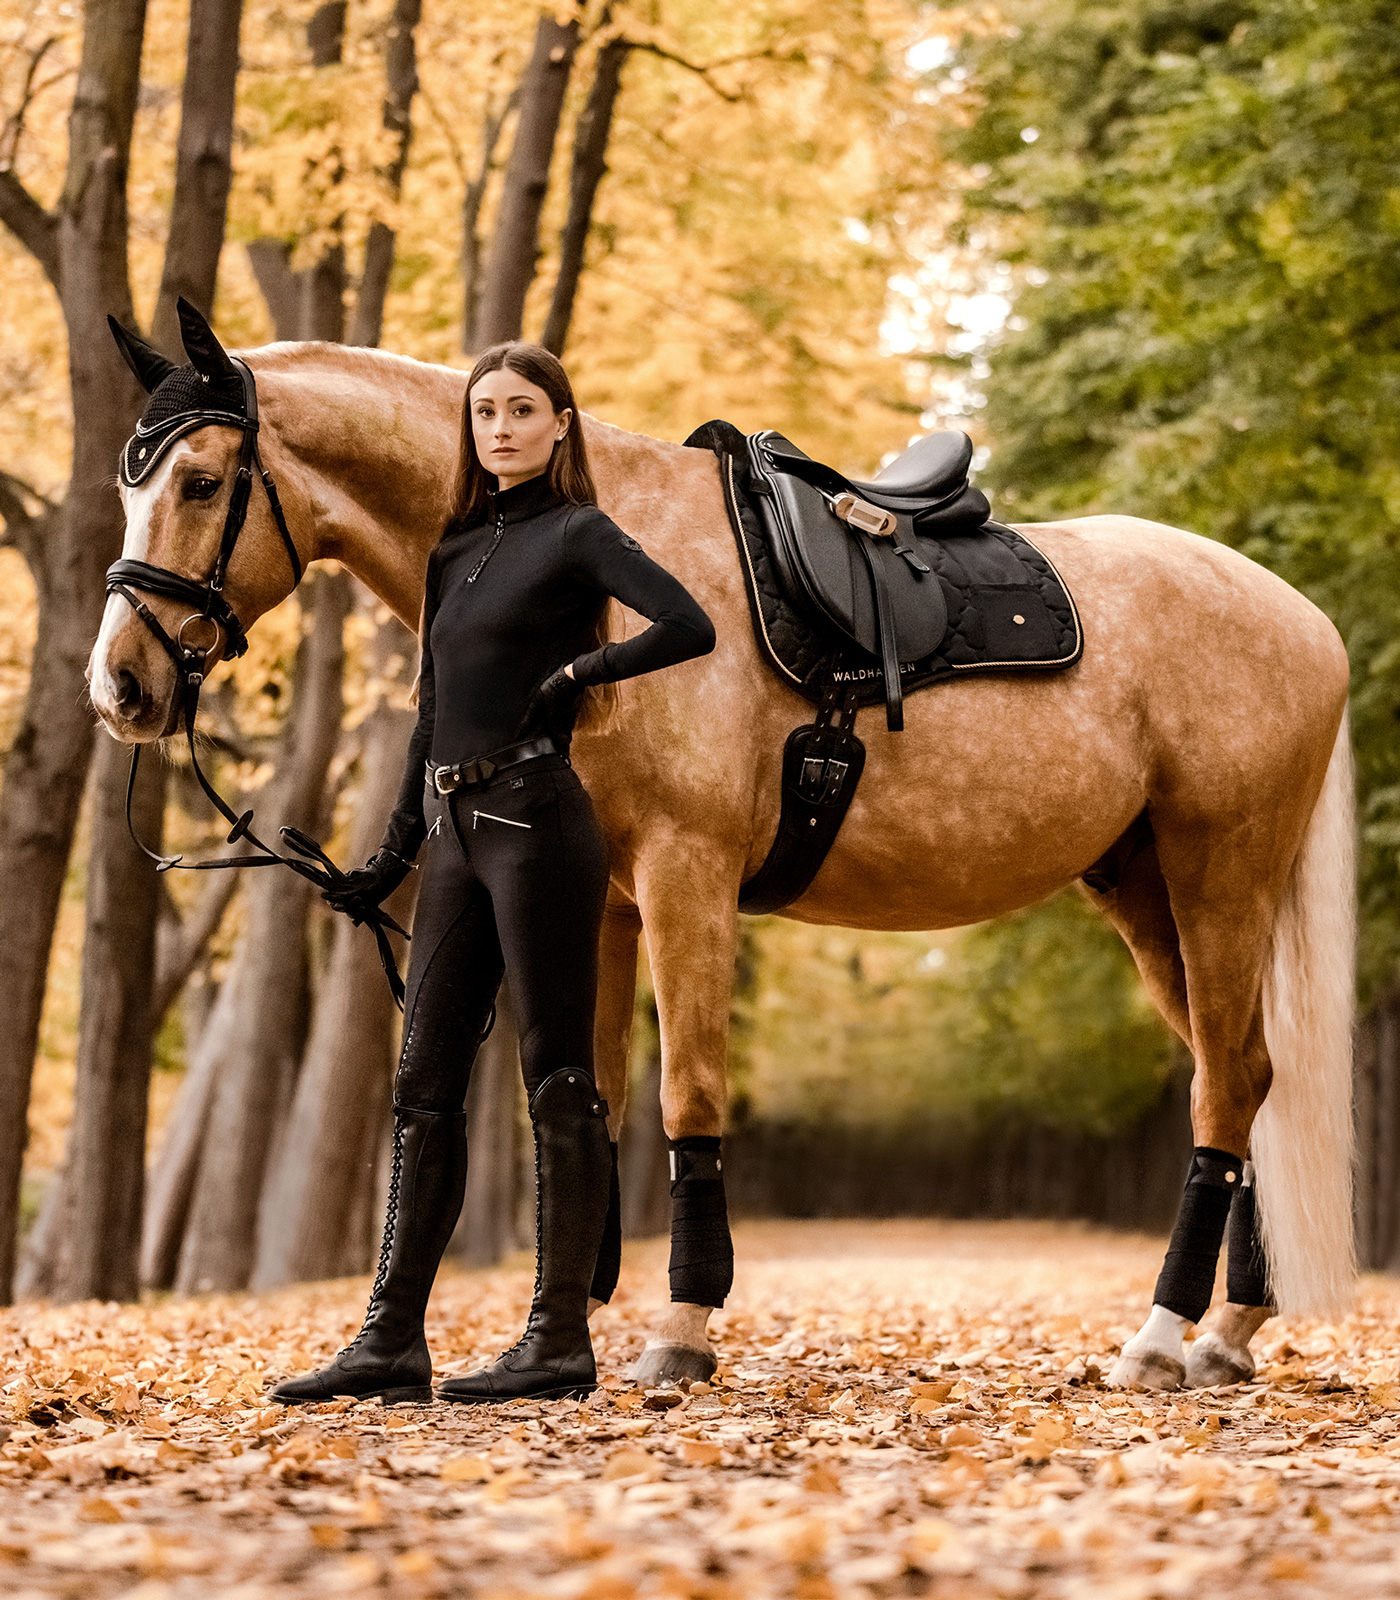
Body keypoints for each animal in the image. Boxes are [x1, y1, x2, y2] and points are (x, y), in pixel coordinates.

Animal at [90, 337, 1356, 1388]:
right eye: (127, 484)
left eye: (200, 482)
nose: (121, 686)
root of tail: (1305, 621)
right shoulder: (598, 903)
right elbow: (587, 1100)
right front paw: (568, 1334)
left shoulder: (684, 877)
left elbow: (684, 1090)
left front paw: (677, 1332)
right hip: (1144, 894)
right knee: (1246, 1078)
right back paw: (1224, 1333)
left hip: (1217, 880)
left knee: (1223, 1087)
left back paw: (1157, 1337)